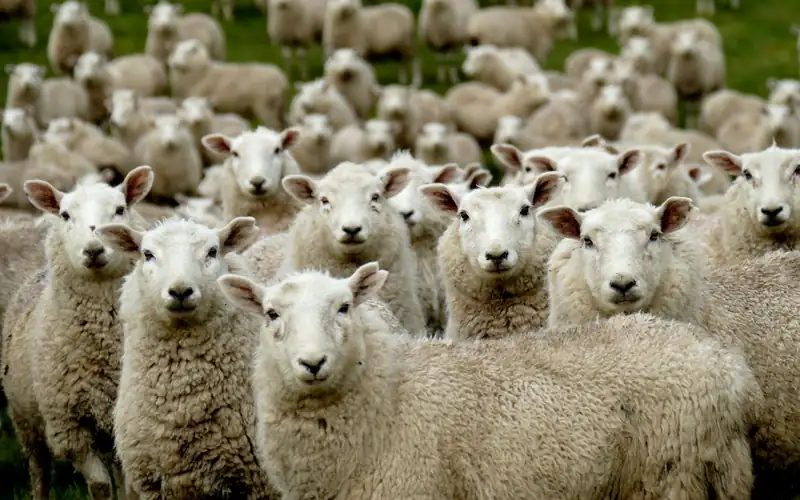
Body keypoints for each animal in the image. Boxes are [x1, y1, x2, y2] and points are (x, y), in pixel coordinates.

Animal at [1, 166, 154, 500]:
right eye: (65, 215)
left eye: (120, 209)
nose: (94, 249)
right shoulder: (69, 428)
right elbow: (99, 485)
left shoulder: (123, 423)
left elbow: (128, 488)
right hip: (26, 420)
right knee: (39, 470)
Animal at [92, 217, 277, 499]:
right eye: (147, 254)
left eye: (212, 251)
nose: (180, 291)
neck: (184, 405)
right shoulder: (152, 484)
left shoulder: (260, 484)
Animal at [218, 263, 757, 500]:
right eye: (271, 315)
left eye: (344, 307)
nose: (312, 363)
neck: (389, 399)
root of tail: (730, 368)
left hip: (673, 474)